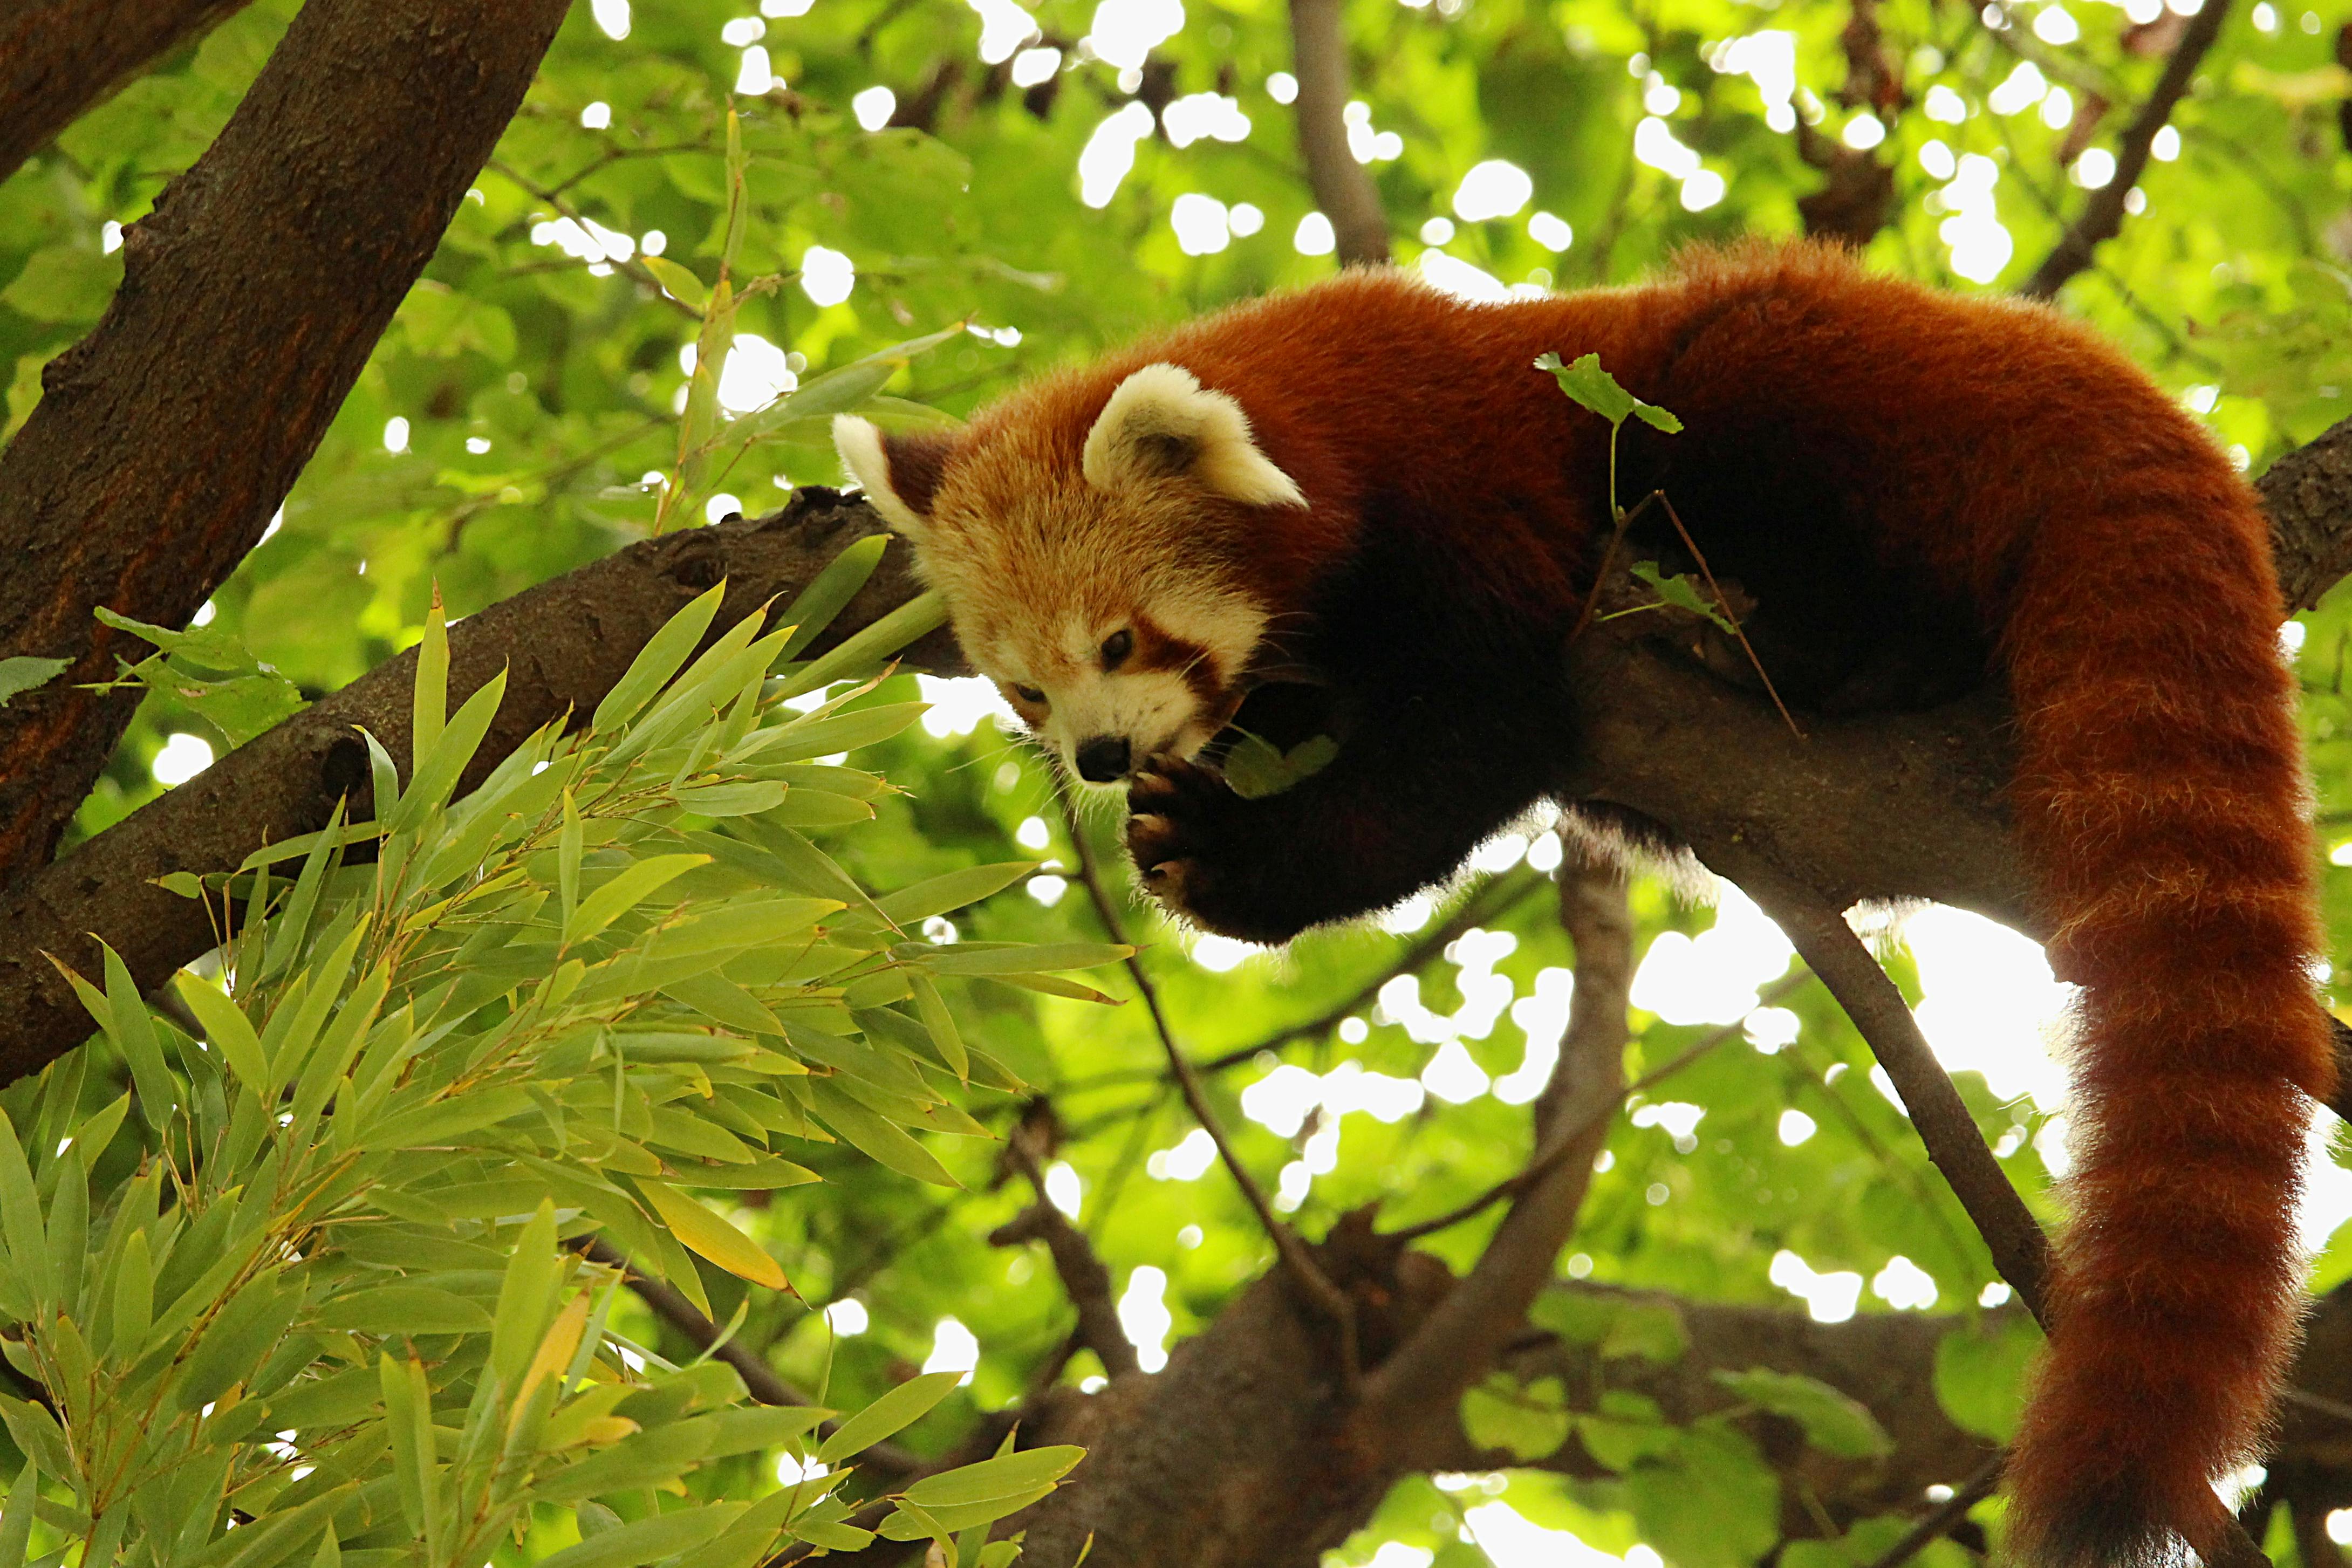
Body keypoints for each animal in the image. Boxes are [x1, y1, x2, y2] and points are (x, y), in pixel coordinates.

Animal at [837, 239, 2323, 1560]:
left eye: (1119, 641)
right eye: (1025, 689)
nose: (1097, 757)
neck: (1353, 411)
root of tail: (2112, 391)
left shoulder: (1477, 507)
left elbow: (1471, 741)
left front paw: (1223, 857)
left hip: (1818, 396)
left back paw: (1804, 643)